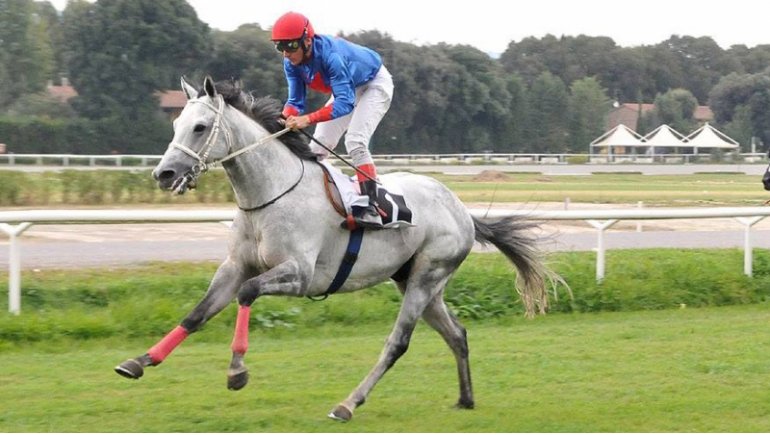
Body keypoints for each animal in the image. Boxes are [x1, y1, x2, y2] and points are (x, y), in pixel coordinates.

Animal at [114, 76, 557, 422]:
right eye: (177, 123)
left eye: (201, 127)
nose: (163, 173)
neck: (269, 195)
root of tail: (463, 210)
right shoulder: (235, 266)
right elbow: (197, 314)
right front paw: (138, 361)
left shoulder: (300, 275)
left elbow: (248, 293)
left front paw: (237, 371)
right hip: (420, 281)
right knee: (457, 334)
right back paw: (465, 398)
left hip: (427, 276)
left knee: (398, 343)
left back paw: (347, 404)